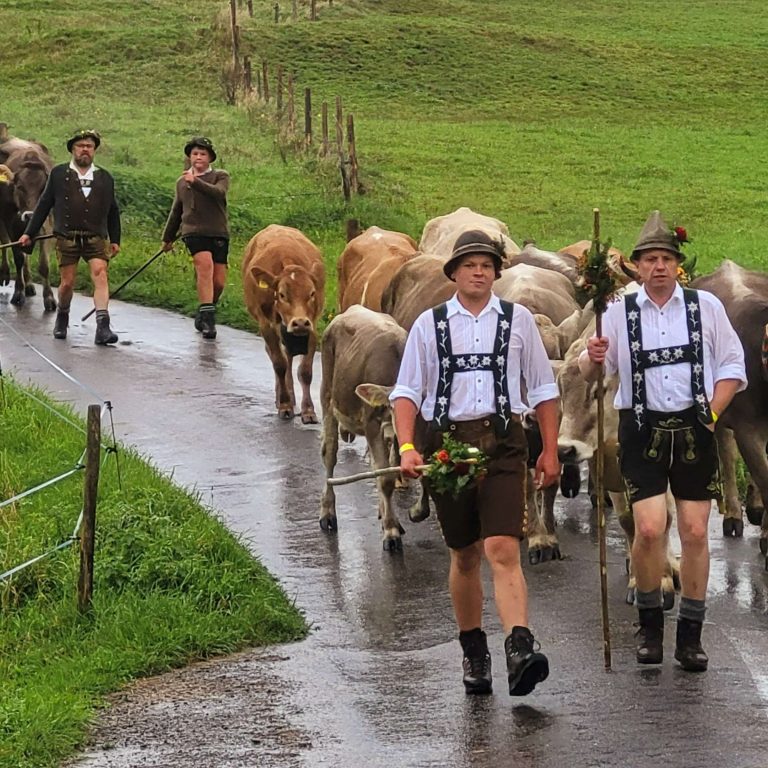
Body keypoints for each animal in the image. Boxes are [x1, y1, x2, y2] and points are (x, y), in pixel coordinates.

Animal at [0, 140, 55, 310]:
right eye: (19, 187)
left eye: (43, 189)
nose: (30, 215)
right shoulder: (9, 224)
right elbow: (18, 257)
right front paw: (18, 292)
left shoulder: (48, 226)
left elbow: (44, 265)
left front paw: (49, 298)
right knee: (4, 243)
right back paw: (5, 273)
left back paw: (29, 284)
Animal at [242, 222, 322, 426]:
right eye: (283, 294)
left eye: (312, 293)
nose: (299, 322)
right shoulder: (266, 326)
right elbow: (279, 364)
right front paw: (284, 405)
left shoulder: (312, 326)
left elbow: (305, 371)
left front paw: (308, 410)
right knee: (278, 358)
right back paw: (284, 397)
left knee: (289, 356)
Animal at [318, 306, 408, 552]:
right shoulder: (371, 423)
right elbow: (385, 478)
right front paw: (391, 532)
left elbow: (389, 469)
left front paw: (390, 521)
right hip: (328, 396)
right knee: (329, 454)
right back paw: (327, 512)